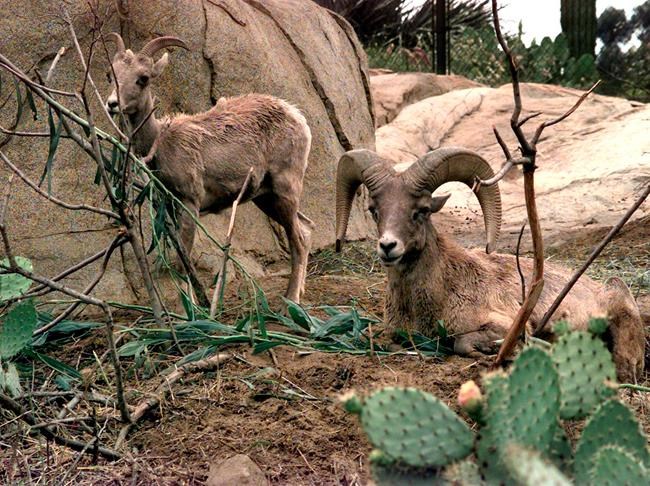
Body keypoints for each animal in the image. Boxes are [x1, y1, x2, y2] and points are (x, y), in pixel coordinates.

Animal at [104, 34, 314, 302]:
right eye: (111, 75)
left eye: (143, 78)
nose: (112, 104)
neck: (162, 141)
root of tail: (298, 117)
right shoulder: (170, 207)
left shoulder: (190, 202)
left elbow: (184, 262)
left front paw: (193, 308)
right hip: (266, 197)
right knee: (306, 229)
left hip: (285, 189)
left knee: (298, 239)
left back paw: (291, 300)